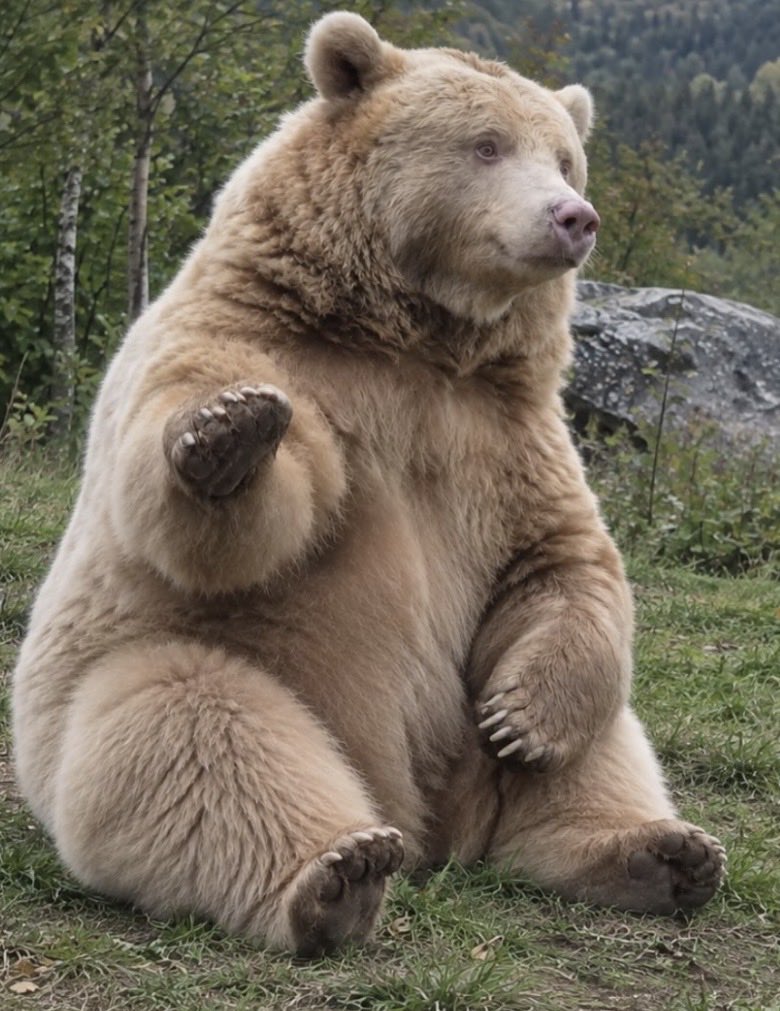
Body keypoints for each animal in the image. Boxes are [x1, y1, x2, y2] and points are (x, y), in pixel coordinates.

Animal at [12, 12, 725, 956]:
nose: (574, 216)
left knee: (598, 744)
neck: (417, 337)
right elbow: (223, 519)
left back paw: (661, 849)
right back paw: (337, 874)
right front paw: (229, 432)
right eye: (487, 145)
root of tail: (432, 827)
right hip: (173, 681)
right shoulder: (267, 349)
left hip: (475, 738)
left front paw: (522, 718)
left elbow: (560, 559)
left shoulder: (506, 432)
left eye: (566, 157)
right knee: (192, 727)